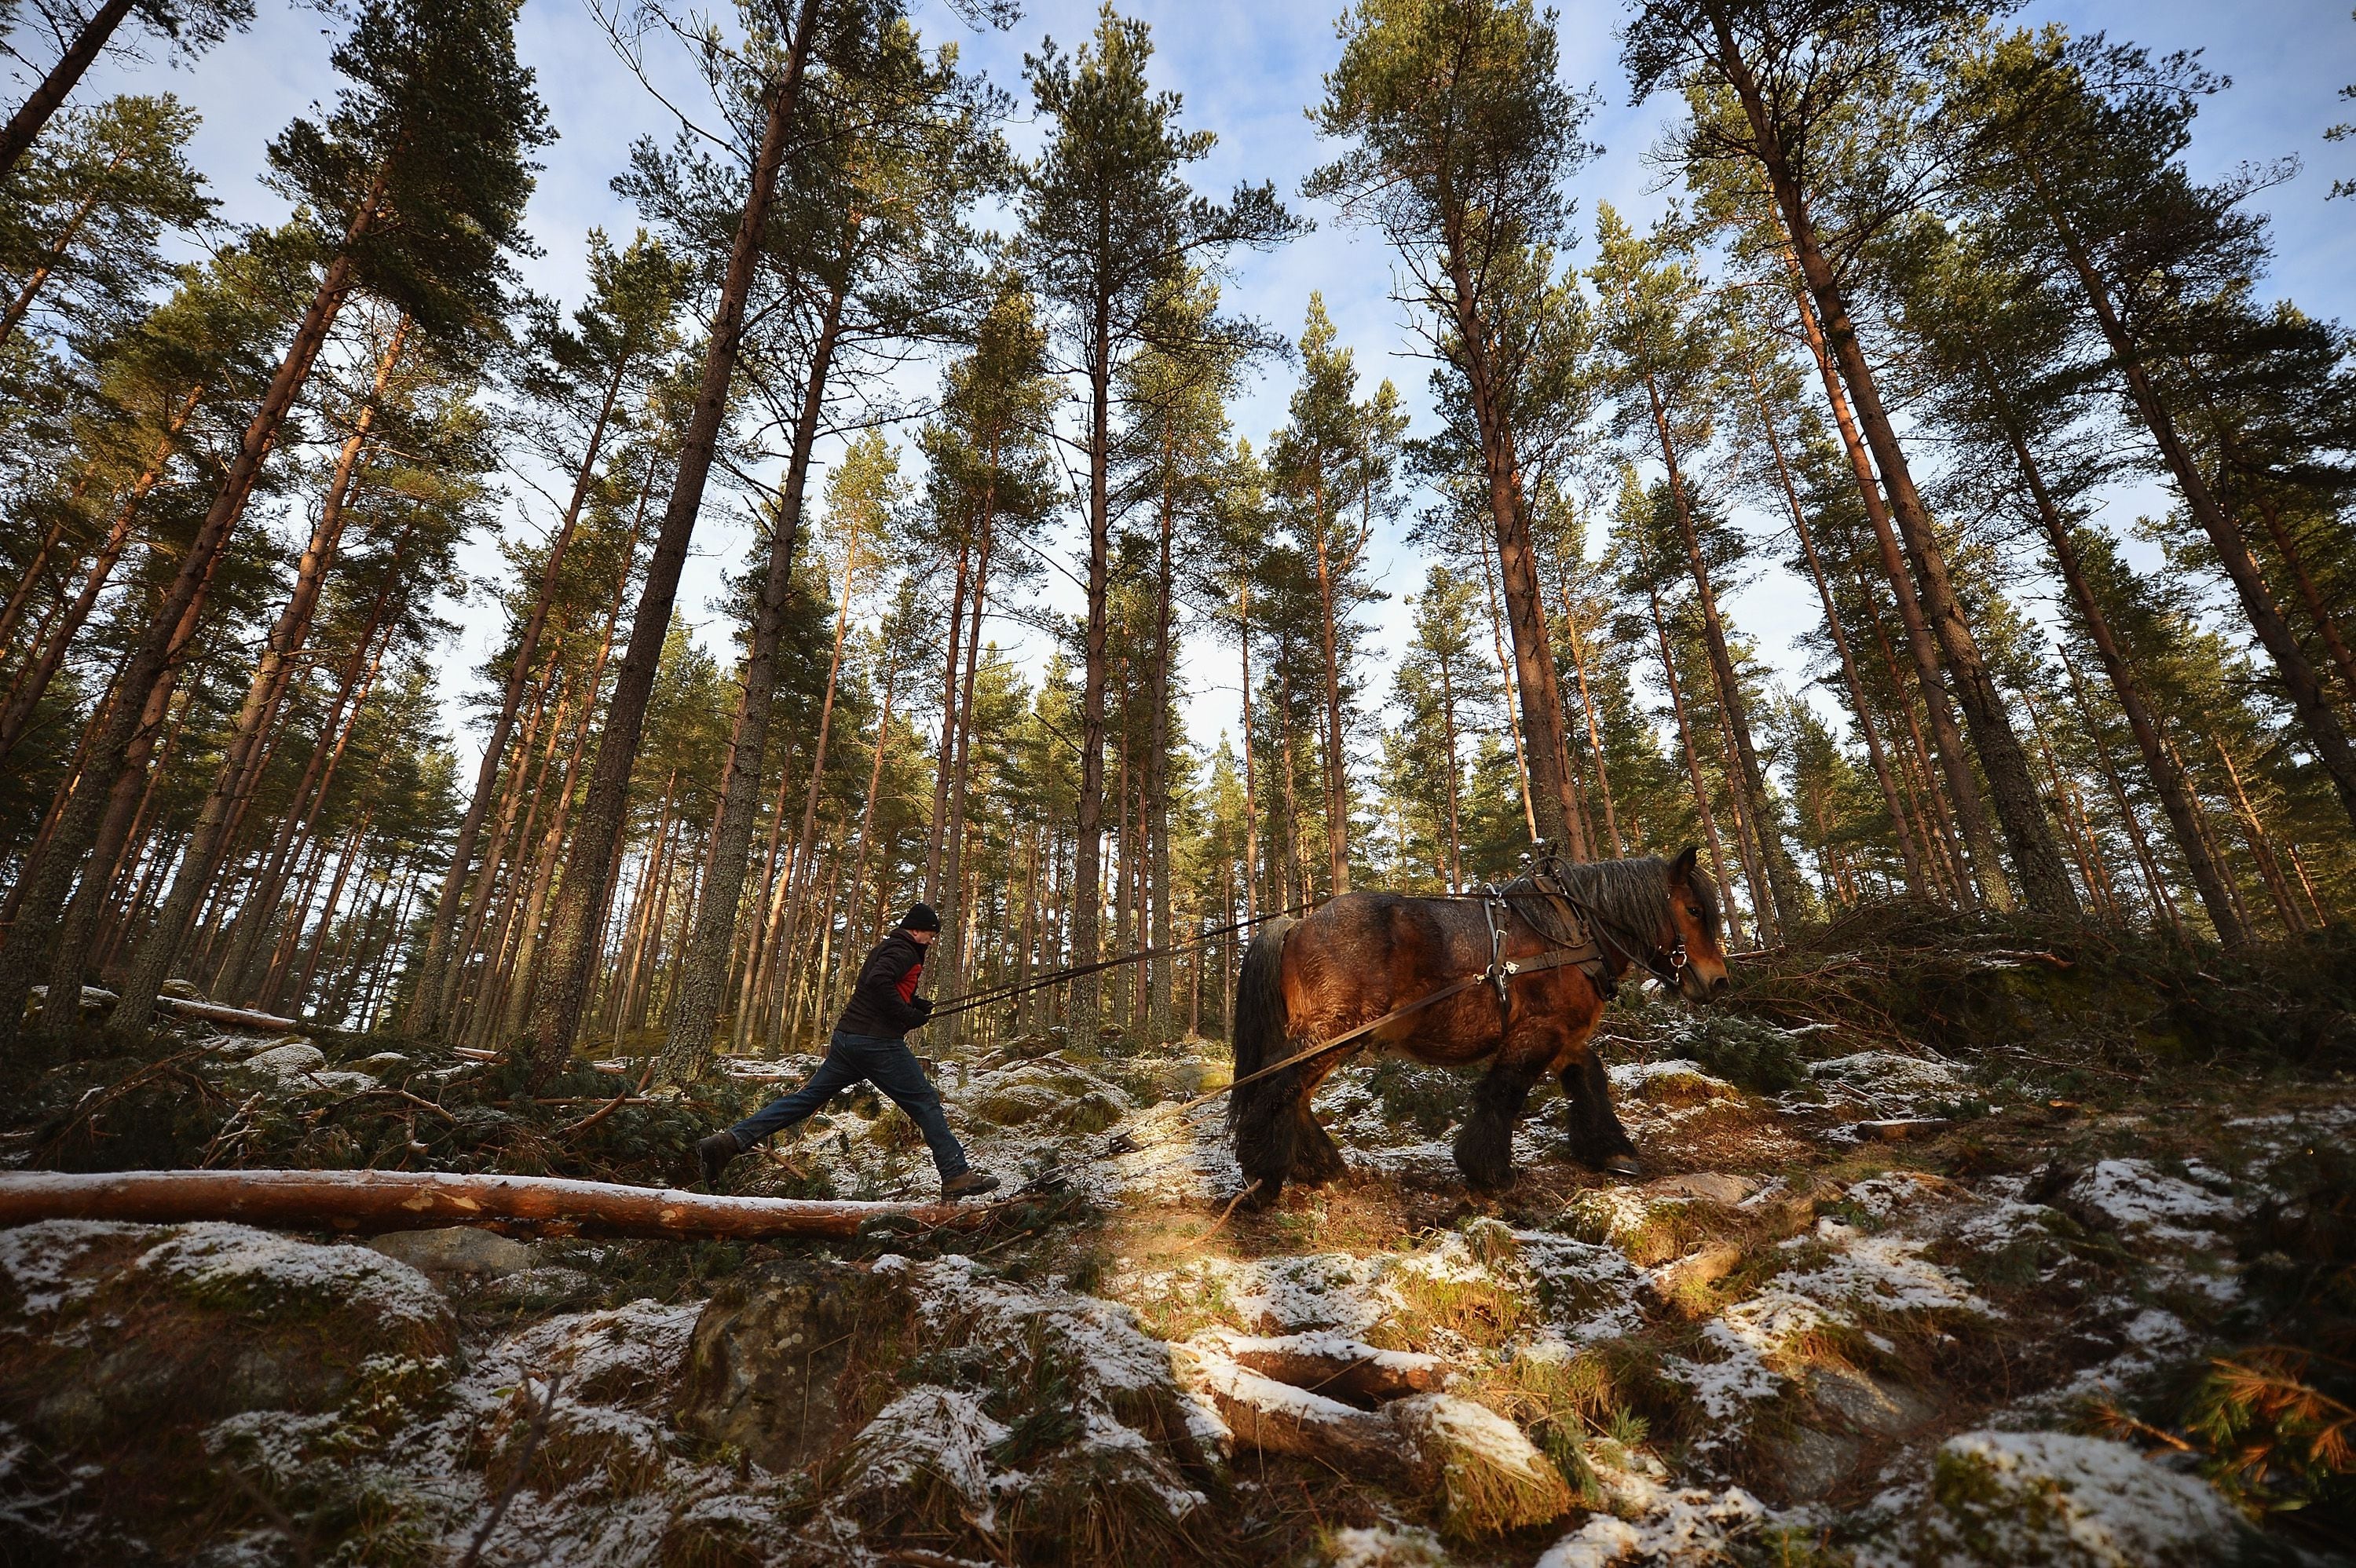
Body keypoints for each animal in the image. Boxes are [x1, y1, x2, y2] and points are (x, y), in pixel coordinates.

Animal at [1235, 847, 1734, 1201]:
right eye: (1694, 910)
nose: (1720, 981)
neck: (1572, 932)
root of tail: (1295, 926)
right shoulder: (1537, 1032)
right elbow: (1504, 1093)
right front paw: (1490, 1171)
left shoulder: (1564, 1036)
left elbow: (1589, 1078)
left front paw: (1612, 1150)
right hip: (1334, 1031)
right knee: (1279, 1088)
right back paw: (1263, 1174)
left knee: (1295, 1094)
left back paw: (1319, 1166)